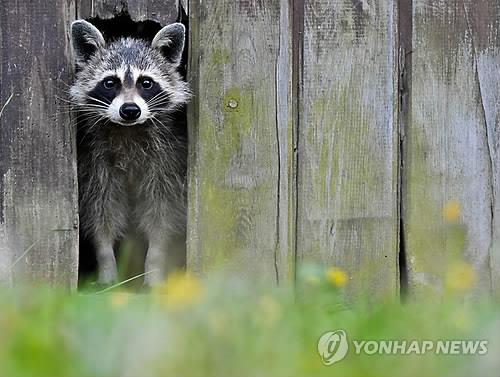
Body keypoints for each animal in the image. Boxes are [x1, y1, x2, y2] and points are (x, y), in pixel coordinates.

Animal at [69, 19, 188, 284]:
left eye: (146, 83)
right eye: (110, 82)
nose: (130, 110)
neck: (128, 129)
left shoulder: (167, 160)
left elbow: (162, 212)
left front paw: (155, 261)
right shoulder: (94, 162)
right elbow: (101, 210)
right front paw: (105, 259)